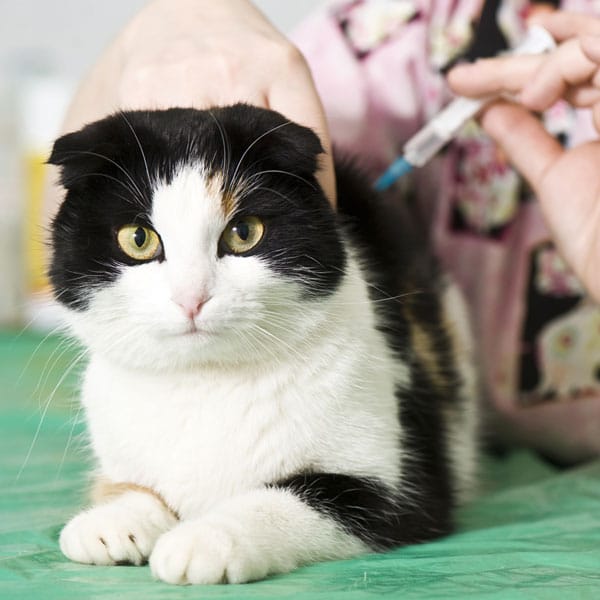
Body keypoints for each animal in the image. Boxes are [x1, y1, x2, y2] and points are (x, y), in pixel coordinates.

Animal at [48, 104, 478, 584]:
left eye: (244, 232)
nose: (191, 297)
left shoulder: (397, 489)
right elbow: (131, 485)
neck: (203, 385)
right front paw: (111, 520)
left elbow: (284, 499)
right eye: (138, 239)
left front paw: (205, 540)